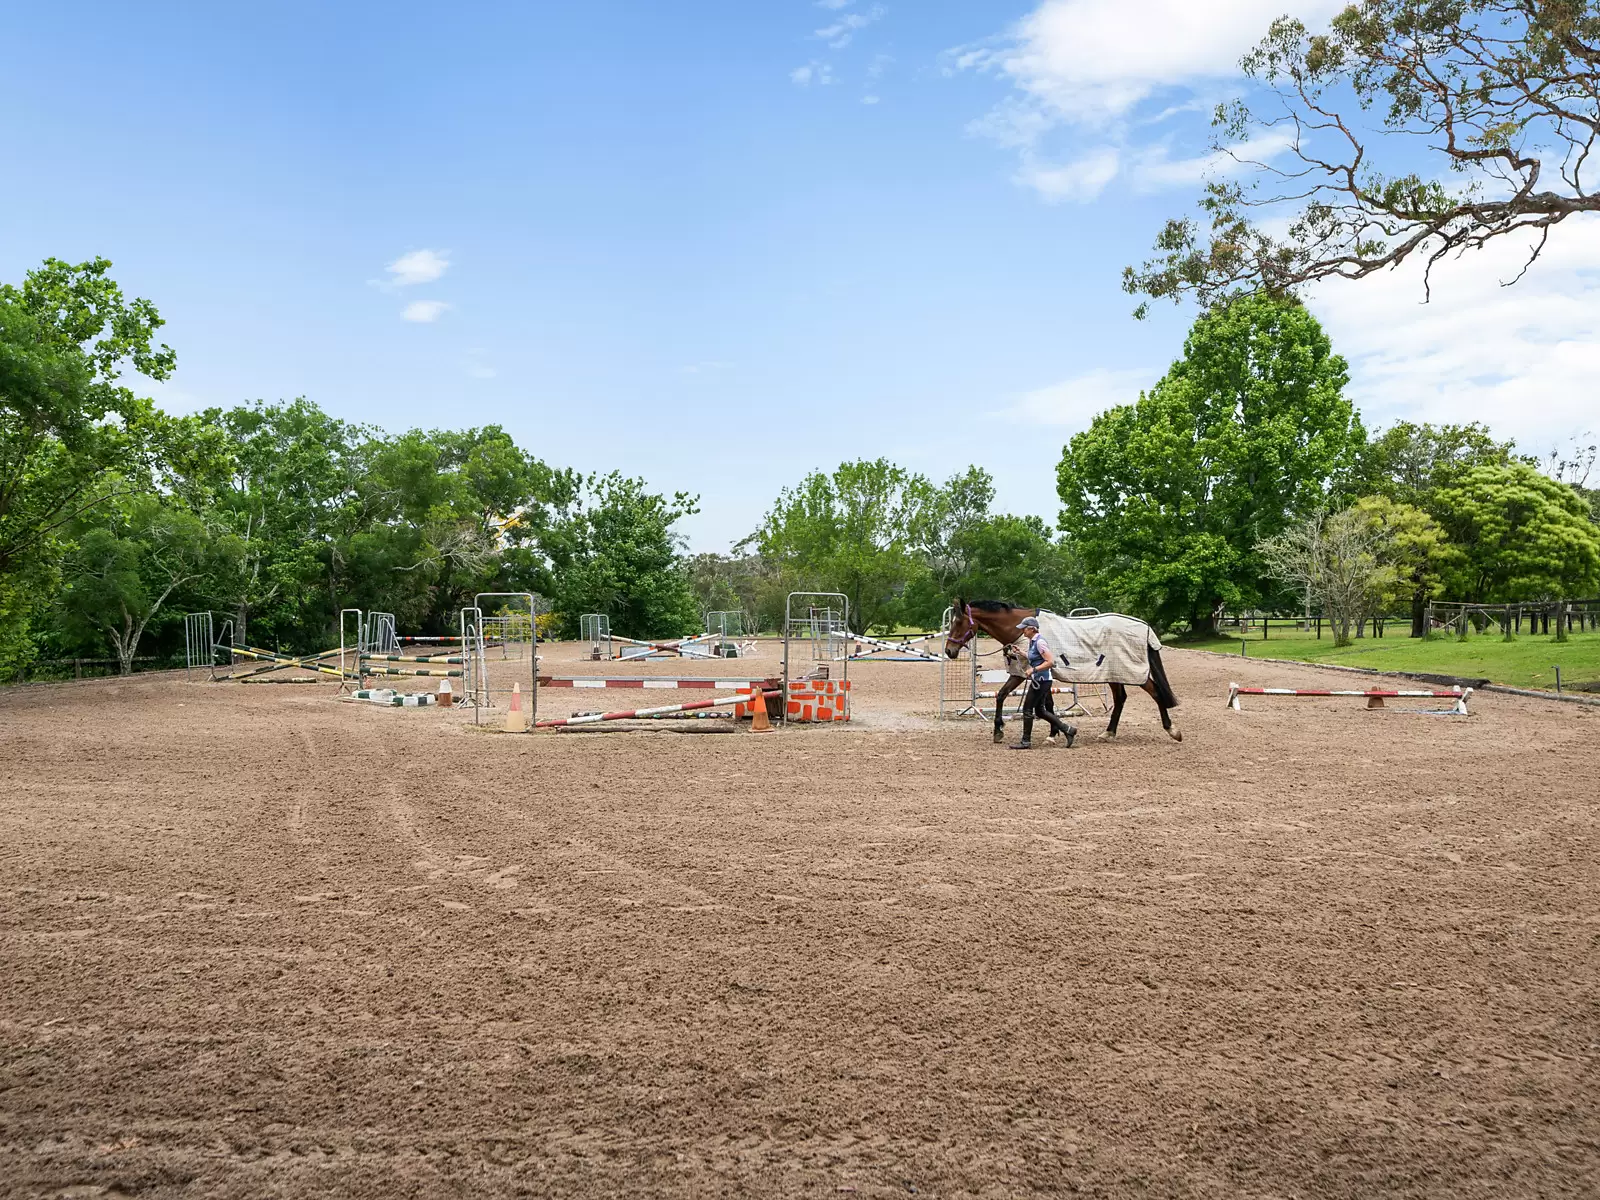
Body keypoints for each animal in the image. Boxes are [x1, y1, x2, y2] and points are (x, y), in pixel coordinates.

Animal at [940, 598, 1184, 742]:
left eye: (958, 623)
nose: (949, 651)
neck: (1020, 629)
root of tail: (1145, 627)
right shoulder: (1035, 675)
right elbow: (1016, 698)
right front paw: (1053, 732)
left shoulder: (1027, 673)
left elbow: (1011, 697)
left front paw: (1001, 730)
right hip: (1115, 674)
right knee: (1121, 698)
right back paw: (1108, 732)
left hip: (1131, 673)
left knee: (1155, 693)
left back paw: (1172, 730)